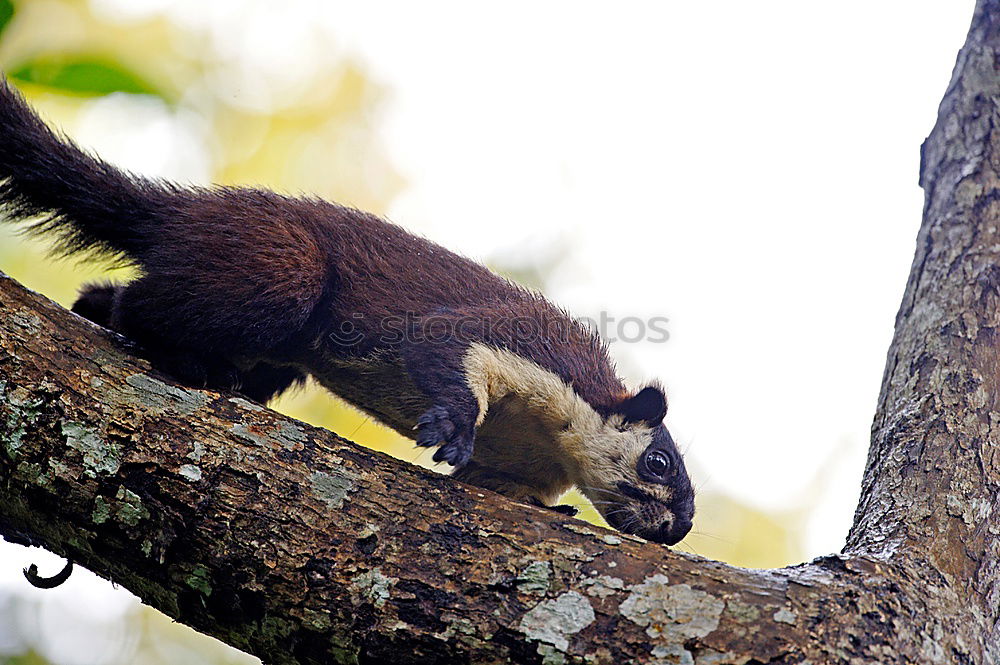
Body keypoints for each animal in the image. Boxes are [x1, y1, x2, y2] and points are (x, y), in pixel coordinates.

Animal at [0, 78, 692, 544]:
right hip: (281, 275)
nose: (679, 527)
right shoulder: (508, 341)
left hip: (274, 349)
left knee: (110, 297)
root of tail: (187, 213)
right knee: (138, 305)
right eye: (659, 461)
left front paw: (554, 508)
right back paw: (189, 362)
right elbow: (444, 352)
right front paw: (449, 431)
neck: (543, 440)